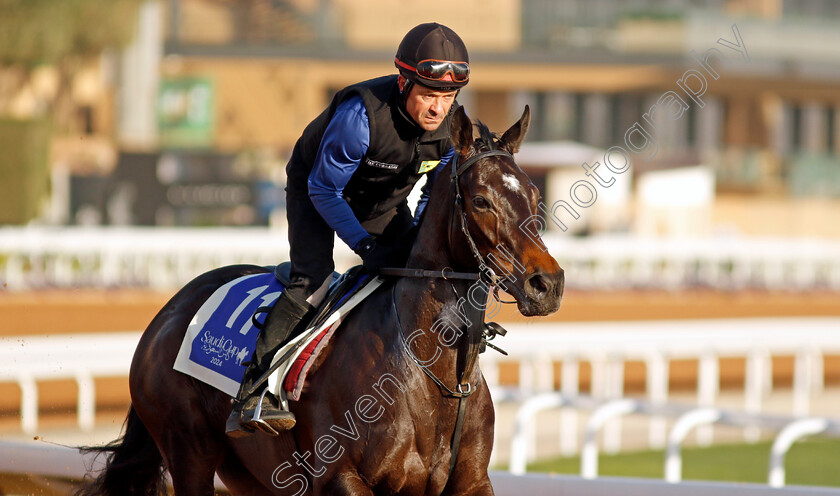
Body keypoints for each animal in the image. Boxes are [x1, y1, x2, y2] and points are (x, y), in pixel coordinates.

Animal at [77, 106, 564, 496]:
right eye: (481, 200)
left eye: (535, 195)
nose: (548, 283)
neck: (433, 376)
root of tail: (168, 311)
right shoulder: (342, 479)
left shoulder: (472, 482)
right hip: (188, 451)